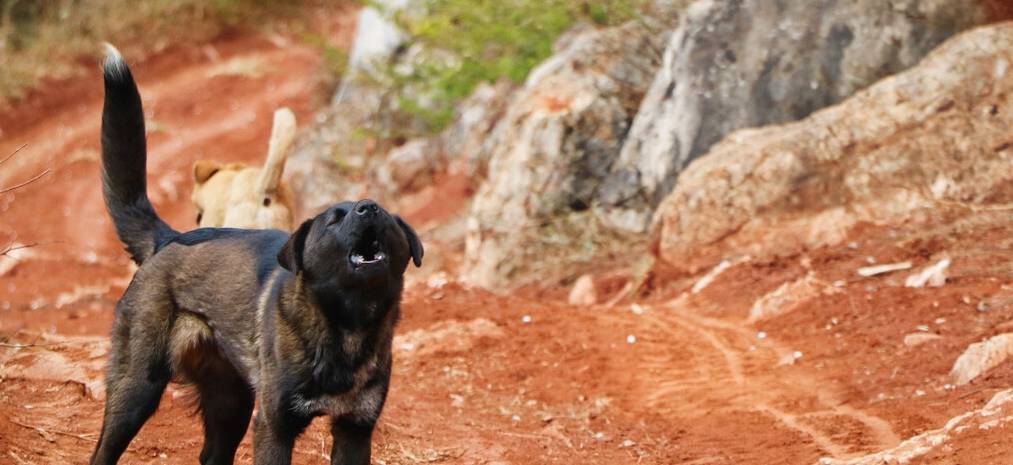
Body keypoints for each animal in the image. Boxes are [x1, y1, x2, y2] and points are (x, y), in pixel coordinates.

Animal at [88, 44, 419, 465]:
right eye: (333, 219)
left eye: (387, 219)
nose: (369, 208)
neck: (348, 325)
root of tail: (169, 240)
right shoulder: (274, 425)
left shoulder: (355, 429)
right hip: (137, 389)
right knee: (103, 450)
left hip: (231, 402)